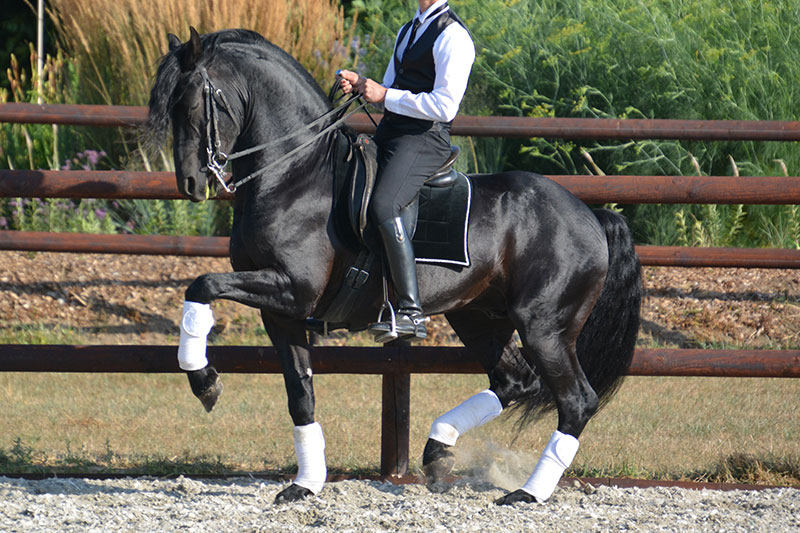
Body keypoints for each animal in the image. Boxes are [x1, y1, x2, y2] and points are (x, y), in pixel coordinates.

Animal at [145, 28, 642, 506]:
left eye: (192, 102)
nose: (190, 183)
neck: (295, 175)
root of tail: (590, 214)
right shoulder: (281, 313)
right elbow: (300, 395)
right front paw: (305, 484)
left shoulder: (291, 289)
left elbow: (202, 285)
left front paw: (204, 381)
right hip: (478, 317)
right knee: (514, 381)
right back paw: (438, 450)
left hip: (543, 327)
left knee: (576, 401)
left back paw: (527, 492)